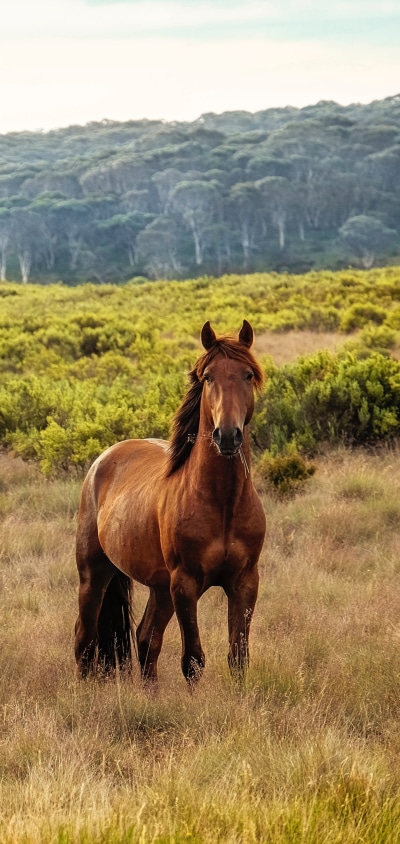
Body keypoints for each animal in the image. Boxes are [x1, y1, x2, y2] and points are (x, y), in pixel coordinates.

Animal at [74, 319, 266, 685]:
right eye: (208, 377)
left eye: (248, 374)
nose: (227, 436)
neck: (222, 502)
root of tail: (104, 459)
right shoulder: (185, 585)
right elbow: (193, 660)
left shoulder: (245, 582)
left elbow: (239, 657)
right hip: (94, 573)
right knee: (85, 639)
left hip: (160, 587)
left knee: (145, 638)